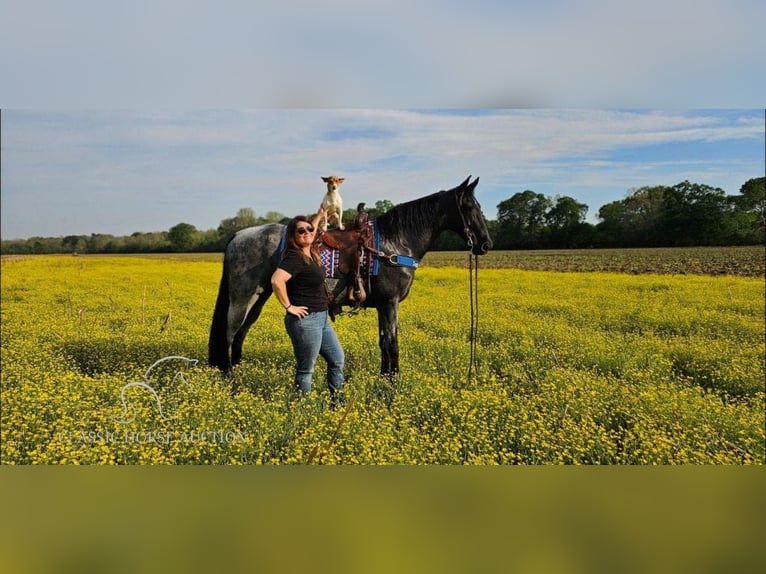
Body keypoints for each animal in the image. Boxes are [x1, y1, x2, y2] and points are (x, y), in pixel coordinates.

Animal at [210, 178, 496, 380]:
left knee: (242, 332)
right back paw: (229, 377)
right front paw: (393, 383)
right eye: (468, 206)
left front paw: (384, 378)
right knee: (229, 333)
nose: (485, 244)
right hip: (243, 296)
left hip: (260, 296)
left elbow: (384, 343)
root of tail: (239, 235)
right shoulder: (390, 303)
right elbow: (392, 344)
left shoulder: (382, 305)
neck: (395, 243)